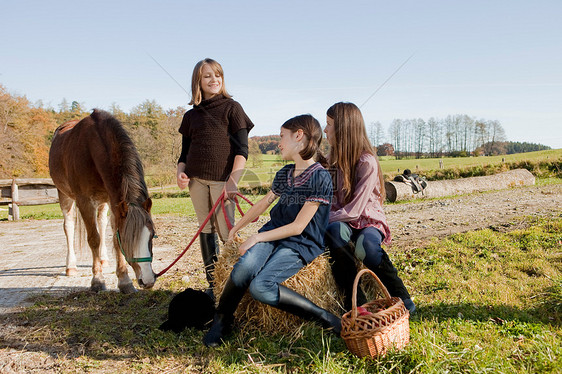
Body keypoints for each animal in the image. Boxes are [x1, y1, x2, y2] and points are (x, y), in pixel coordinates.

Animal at [49, 109, 156, 294]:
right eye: (128, 240)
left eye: (152, 236)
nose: (148, 280)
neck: (92, 149)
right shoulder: (84, 202)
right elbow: (94, 239)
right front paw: (97, 280)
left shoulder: (115, 202)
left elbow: (113, 238)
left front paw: (124, 281)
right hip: (65, 196)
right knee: (69, 226)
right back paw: (71, 267)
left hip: (103, 202)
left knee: (101, 223)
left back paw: (104, 259)